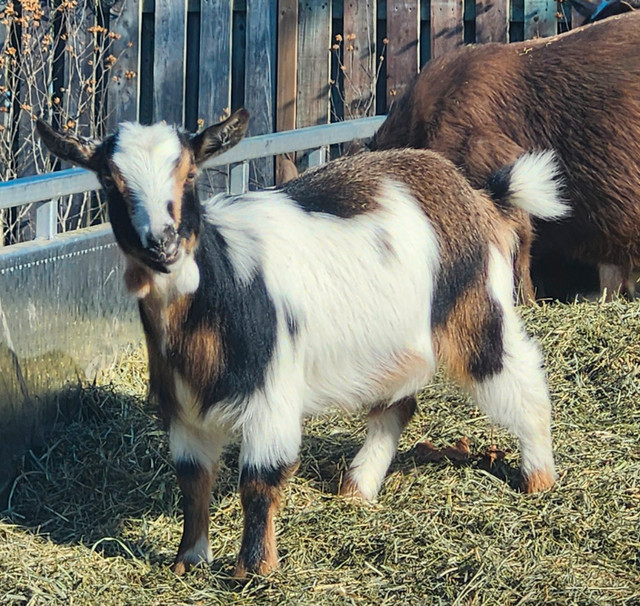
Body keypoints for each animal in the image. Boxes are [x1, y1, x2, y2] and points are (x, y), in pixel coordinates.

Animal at [38, 115, 564, 580]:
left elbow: (259, 479)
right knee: (397, 406)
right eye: (110, 181)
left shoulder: (271, 397)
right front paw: (189, 560)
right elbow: (192, 479)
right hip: (393, 347)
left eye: (189, 174)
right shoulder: (183, 407)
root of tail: (477, 194)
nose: (162, 245)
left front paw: (254, 570)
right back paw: (357, 488)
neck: (217, 291)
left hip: (475, 310)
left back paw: (539, 479)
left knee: (522, 378)